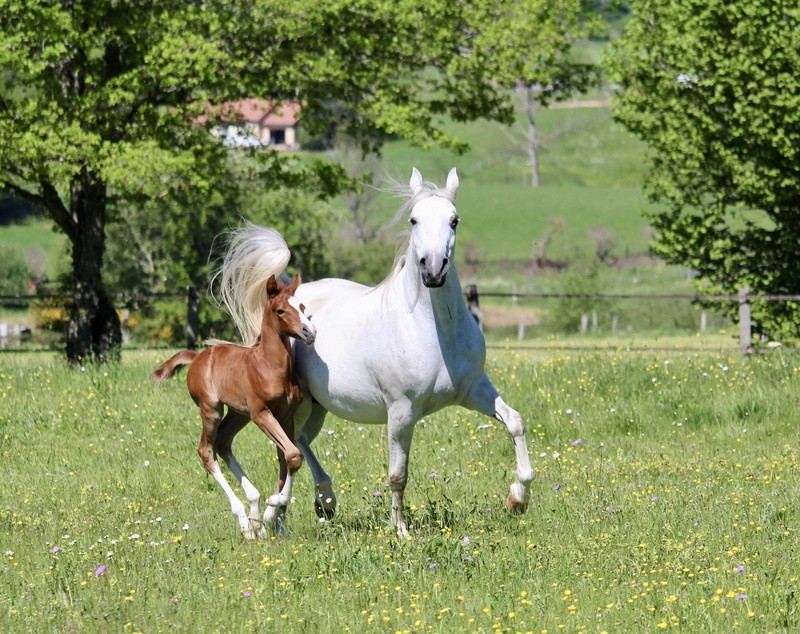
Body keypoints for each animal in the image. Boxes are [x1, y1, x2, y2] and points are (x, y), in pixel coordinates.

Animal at [150, 272, 316, 540]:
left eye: (301, 307)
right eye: (280, 310)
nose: (309, 332)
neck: (270, 366)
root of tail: (197, 357)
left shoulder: (285, 416)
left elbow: (286, 458)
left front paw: (270, 514)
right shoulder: (261, 413)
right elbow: (293, 455)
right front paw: (273, 504)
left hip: (239, 414)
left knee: (222, 442)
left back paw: (254, 513)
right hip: (212, 409)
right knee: (206, 450)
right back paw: (245, 522)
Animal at [219, 167, 536, 532]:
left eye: (454, 220)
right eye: (413, 219)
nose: (433, 269)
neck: (433, 331)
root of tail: (286, 295)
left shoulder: (473, 390)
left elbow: (515, 422)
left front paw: (517, 499)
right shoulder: (401, 410)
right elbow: (398, 475)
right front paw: (401, 531)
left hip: (317, 405)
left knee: (299, 443)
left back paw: (314, 505)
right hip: (297, 406)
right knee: (289, 448)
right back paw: (280, 513)